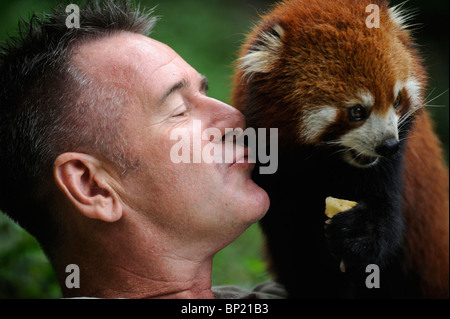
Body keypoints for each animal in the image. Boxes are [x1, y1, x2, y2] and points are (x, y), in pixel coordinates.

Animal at [234, 0, 448, 300]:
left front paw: (357, 231)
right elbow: (291, 241)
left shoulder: (393, 166)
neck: (325, 163)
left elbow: (384, 222)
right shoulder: (276, 173)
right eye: (357, 111)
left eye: (396, 101)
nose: (388, 146)